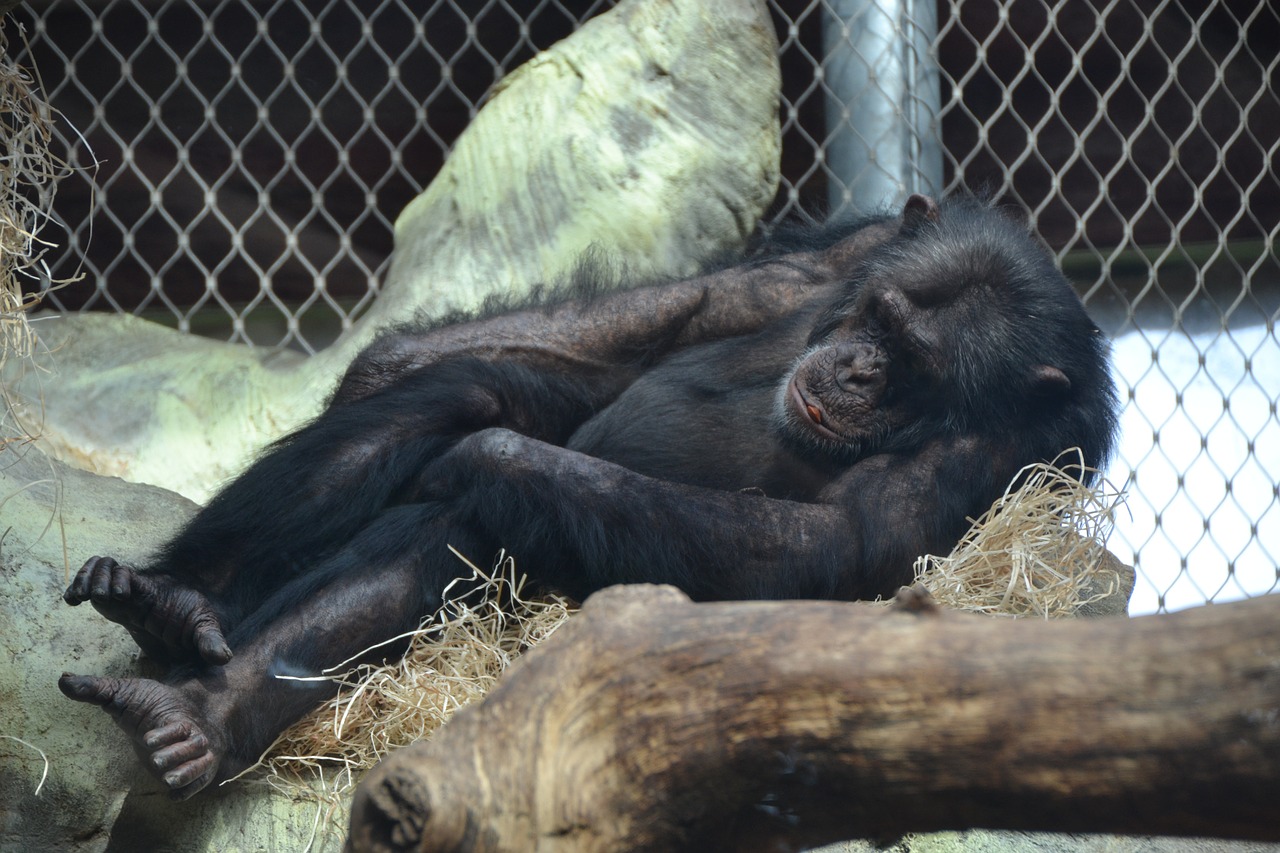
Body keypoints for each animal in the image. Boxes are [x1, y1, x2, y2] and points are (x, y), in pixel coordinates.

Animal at [62, 194, 1121, 799]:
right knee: (467, 385)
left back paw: (201, 716)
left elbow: (834, 546)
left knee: (461, 522)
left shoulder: (991, 459)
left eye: (911, 364)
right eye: (882, 318)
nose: (859, 367)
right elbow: (683, 311)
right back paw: (173, 608)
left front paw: (489, 460)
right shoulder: (840, 256)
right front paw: (384, 370)